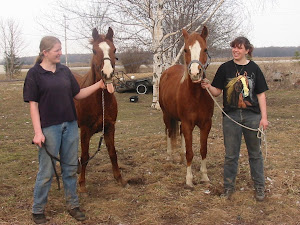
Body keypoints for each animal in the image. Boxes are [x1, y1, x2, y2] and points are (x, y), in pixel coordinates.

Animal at [73, 27, 126, 192]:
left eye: (114, 49)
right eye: (94, 50)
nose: (107, 74)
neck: (99, 100)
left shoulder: (109, 127)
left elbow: (112, 152)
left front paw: (119, 178)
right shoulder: (85, 130)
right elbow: (85, 156)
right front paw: (82, 185)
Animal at [159, 25, 213, 188]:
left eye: (205, 49)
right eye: (185, 50)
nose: (195, 73)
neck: (196, 96)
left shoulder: (206, 124)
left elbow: (203, 150)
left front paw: (204, 176)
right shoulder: (188, 123)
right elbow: (190, 152)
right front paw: (189, 180)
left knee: (181, 134)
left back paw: (181, 157)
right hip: (166, 115)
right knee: (169, 132)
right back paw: (170, 155)